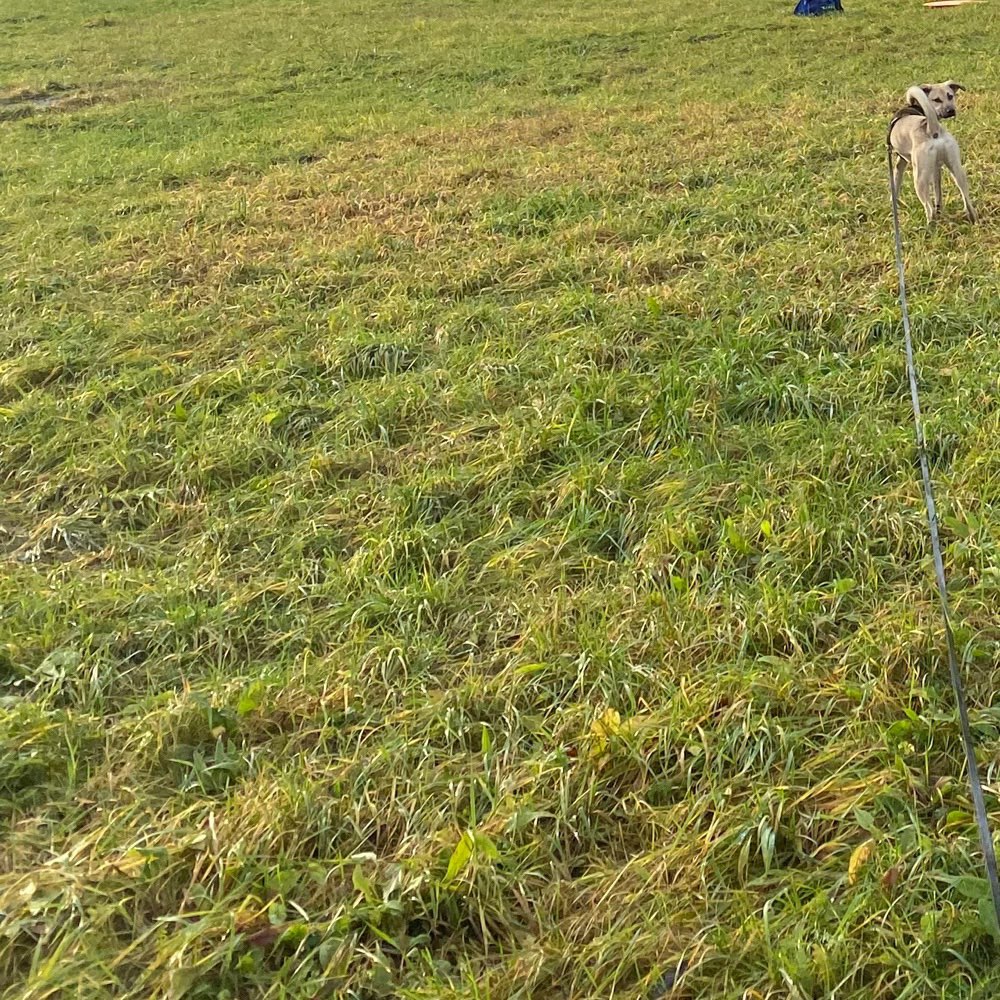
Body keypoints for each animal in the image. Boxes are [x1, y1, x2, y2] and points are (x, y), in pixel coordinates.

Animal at [892, 81, 976, 223]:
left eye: (950, 96)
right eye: (937, 99)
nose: (950, 110)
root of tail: (933, 130)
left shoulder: (900, 162)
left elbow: (895, 185)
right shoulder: (936, 169)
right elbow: (938, 192)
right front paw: (940, 208)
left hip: (919, 179)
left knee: (929, 208)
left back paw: (929, 225)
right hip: (958, 171)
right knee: (967, 201)